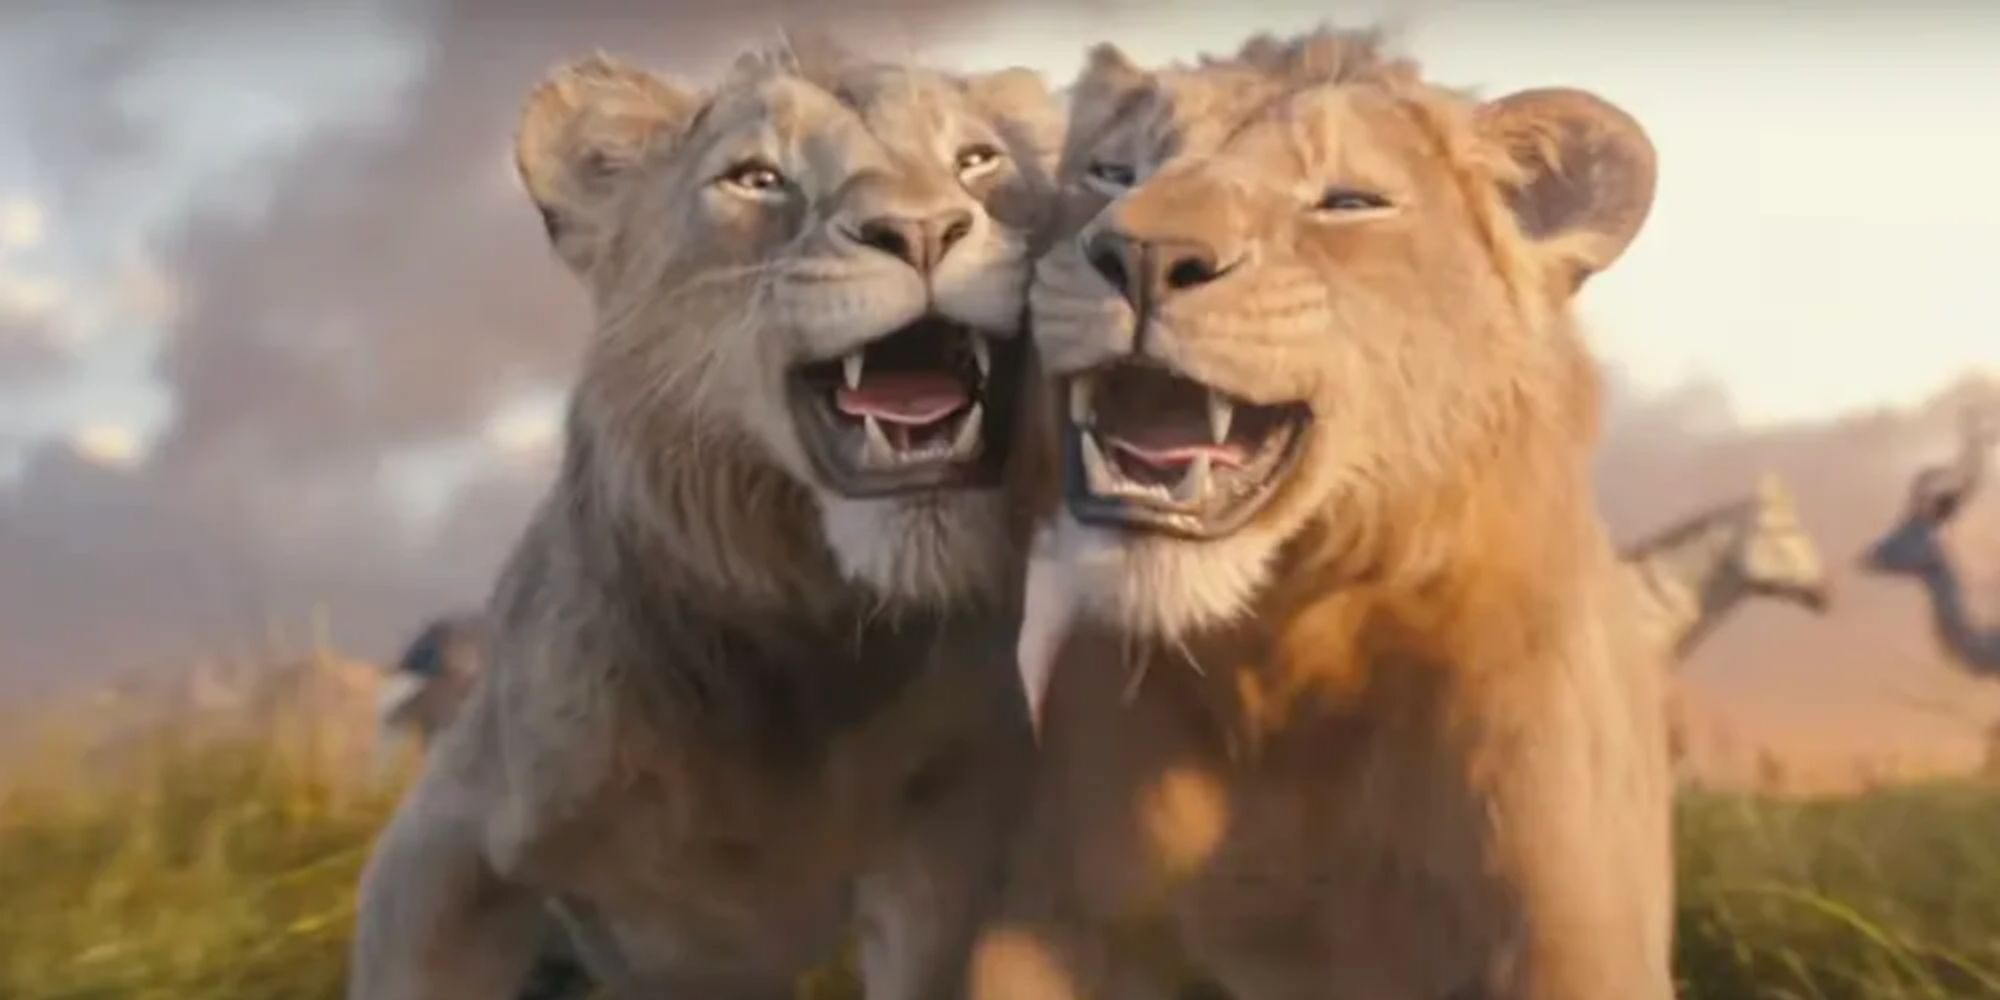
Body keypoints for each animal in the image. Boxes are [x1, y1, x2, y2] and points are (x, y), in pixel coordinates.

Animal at [347, 40, 1061, 1000]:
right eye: (757, 178)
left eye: (978, 161)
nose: (922, 232)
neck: (808, 643)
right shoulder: (442, 844)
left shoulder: (953, 834)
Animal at [969, 28, 1672, 1000]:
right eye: (1112, 172)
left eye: (1347, 203)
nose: (1142, 256)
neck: (1283, 662)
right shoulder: (1042, 922)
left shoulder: (1574, 947)